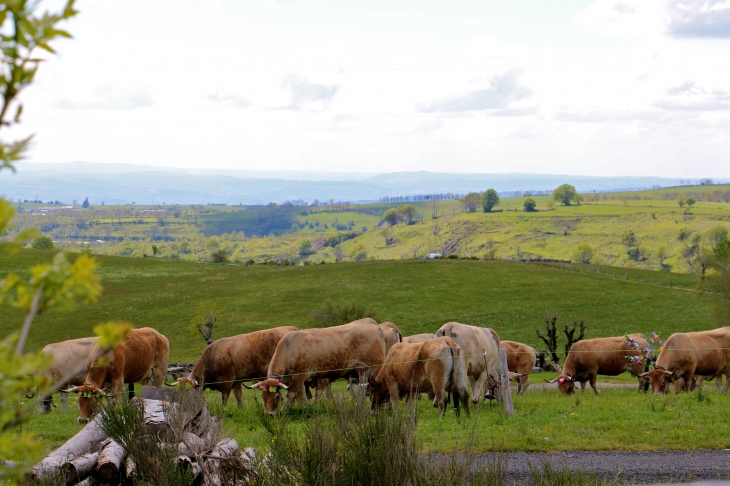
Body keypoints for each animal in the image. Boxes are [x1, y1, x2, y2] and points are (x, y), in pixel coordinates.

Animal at [246, 318, 386, 414]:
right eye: (263, 397)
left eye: (276, 397)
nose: (270, 414)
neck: (290, 349)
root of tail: (370, 322)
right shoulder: (298, 379)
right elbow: (301, 394)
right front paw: (305, 407)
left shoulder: (299, 376)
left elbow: (292, 394)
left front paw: (284, 410)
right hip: (361, 371)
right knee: (362, 390)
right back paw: (359, 407)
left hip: (375, 369)